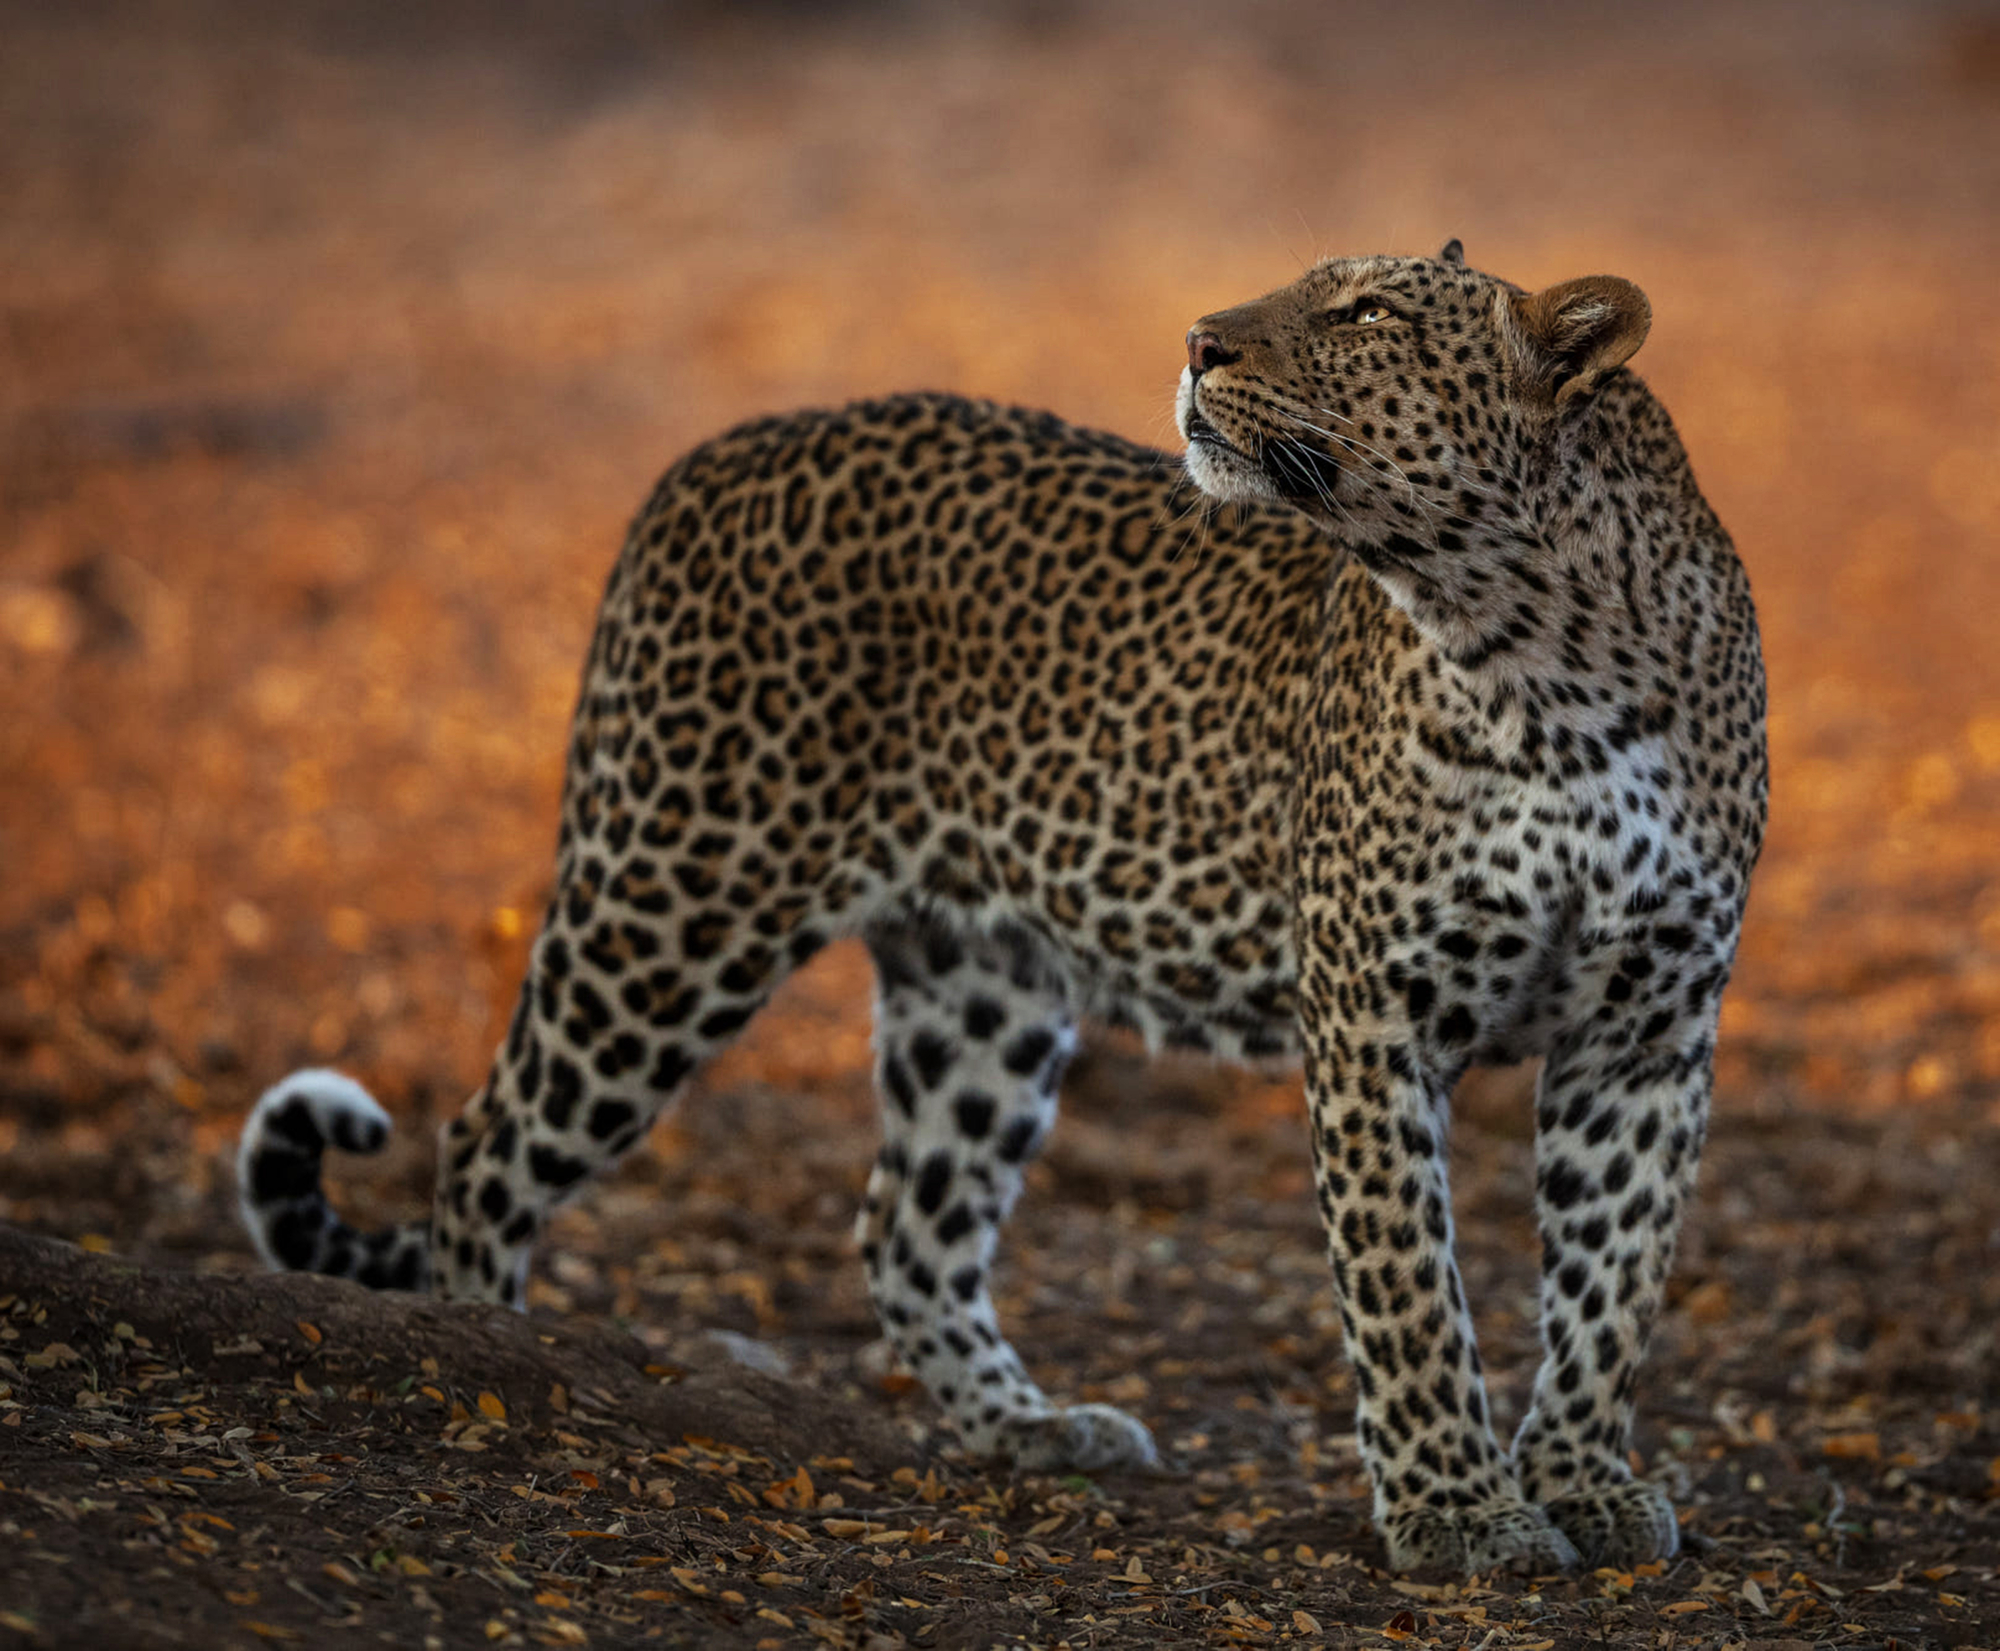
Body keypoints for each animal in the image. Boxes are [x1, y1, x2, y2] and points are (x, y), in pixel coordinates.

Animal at [238, 240, 1768, 1567]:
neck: (1540, 659)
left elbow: (1612, 1279)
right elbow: (1409, 1290)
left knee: (906, 1226)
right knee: (486, 1145)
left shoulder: (1646, 1031)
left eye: (1369, 314)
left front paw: (1581, 1481)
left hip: (980, 984)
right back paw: (494, 1354)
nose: (1195, 341)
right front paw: (1460, 1511)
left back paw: (1031, 1428)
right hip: (674, 897)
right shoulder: (1374, 1014)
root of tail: (714, 453)